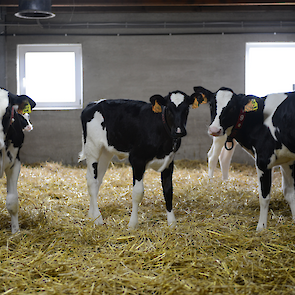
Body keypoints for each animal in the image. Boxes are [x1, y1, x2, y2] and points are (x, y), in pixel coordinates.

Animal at [79, 92, 197, 229]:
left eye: (186, 109)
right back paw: (98, 219)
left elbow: (168, 191)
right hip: (93, 148)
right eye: (168, 108)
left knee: (96, 180)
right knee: (92, 182)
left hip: (105, 152)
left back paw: (91, 215)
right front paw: (132, 224)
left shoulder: (169, 162)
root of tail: (93, 104)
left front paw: (172, 222)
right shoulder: (137, 159)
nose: (179, 131)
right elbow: (138, 193)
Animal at [193, 86, 295, 230]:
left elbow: (275, 195)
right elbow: (279, 195)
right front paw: (262, 228)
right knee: (214, 156)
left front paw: (261, 228)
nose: (214, 129)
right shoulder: (277, 160)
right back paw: (213, 182)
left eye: (232, 107)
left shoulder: (272, 160)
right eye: (212, 104)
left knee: (221, 157)